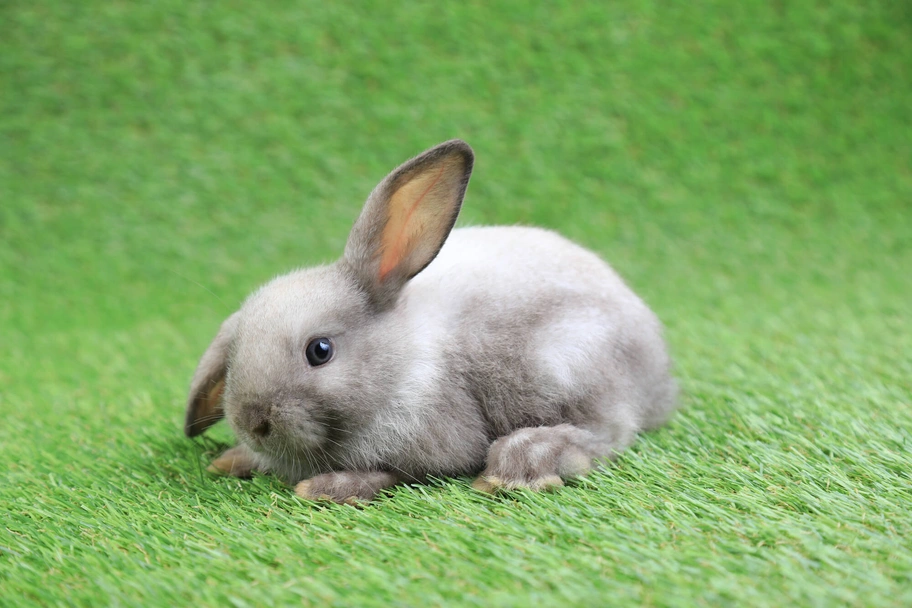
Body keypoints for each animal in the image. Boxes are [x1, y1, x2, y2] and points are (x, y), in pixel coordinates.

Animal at [184, 139, 677, 504]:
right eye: (233, 354)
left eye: (319, 350)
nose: (253, 422)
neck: (402, 363)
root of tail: (661, 371)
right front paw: (232, 460)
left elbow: (391, 474)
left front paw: (326, 488)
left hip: (568, 363)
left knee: (606, 432)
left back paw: (521, 464)